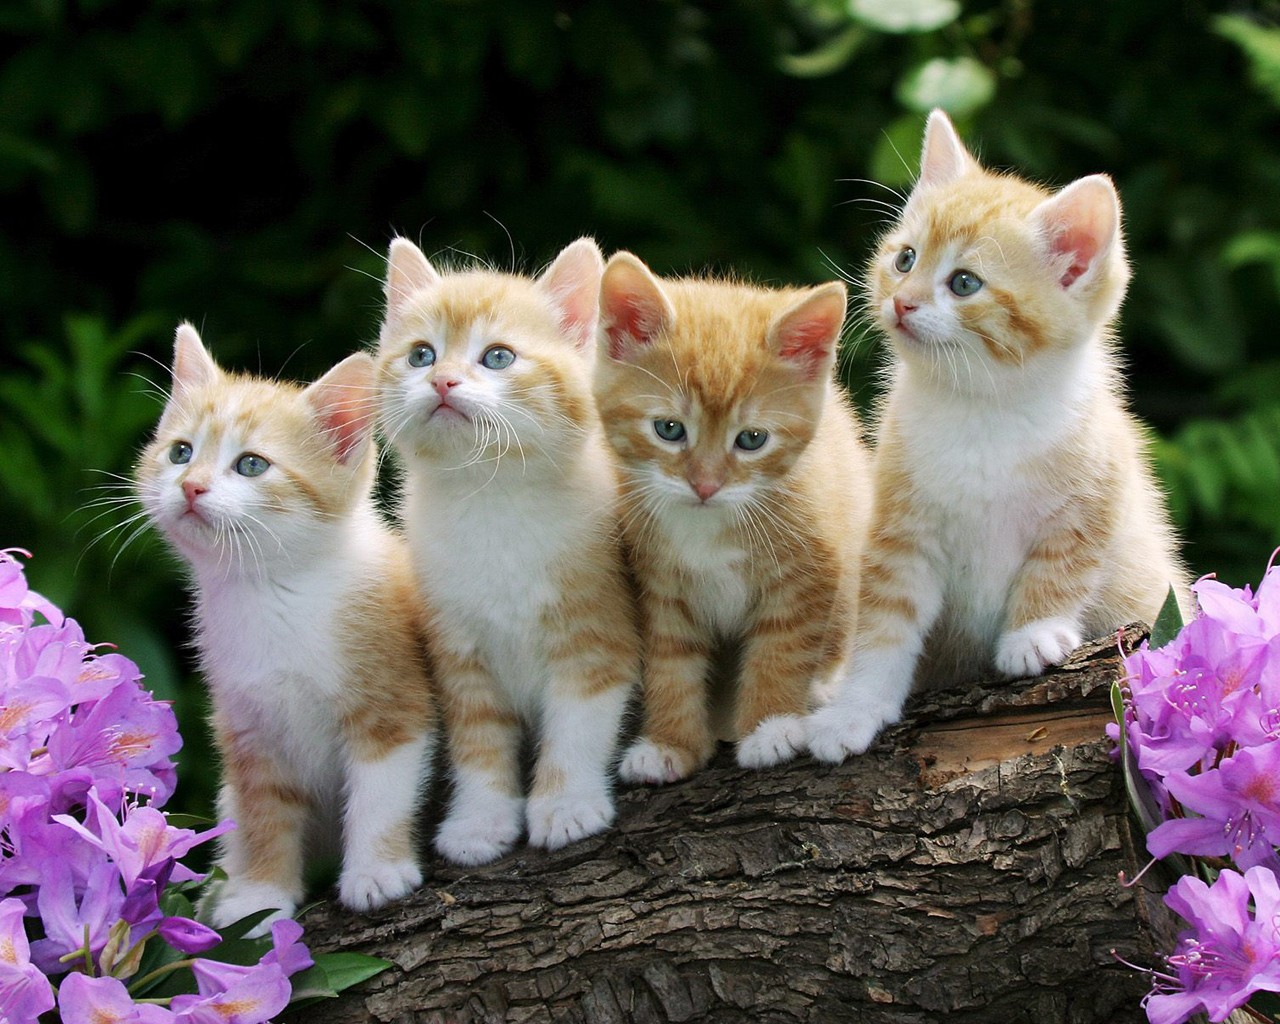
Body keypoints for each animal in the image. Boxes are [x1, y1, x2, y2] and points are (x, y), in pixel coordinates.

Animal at [134, 326, 435, 926]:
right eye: (181, 452)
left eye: (252, 465)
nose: (191, 486)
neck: (273, 594)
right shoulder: (248, 726)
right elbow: (261, 812)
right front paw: (258, 897)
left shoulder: (393, 701)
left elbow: (381, 793)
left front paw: (377, 871)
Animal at [376, 238, 640, 865]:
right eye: (421, 355)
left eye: (497, 357)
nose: (442, 381)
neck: (490, 498)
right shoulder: (457, 650)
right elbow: (478, 741)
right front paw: (479, 821)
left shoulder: (598, 632)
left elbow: (577, 726)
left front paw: (566, 805)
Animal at [593, 252, 875, 778]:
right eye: (669, 429)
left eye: (751, 439)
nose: (705, 485)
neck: (707, 524)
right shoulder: (658, 585)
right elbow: (670, 662)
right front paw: (671, 742)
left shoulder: (810, 572)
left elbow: (781, 649)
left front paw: (771, 728)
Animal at [808, 110, 1187, 757]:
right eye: (905, 259)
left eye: (964, 283)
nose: (902, 303)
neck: (981, 411)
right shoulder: (900, 527)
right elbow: (883, 625)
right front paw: (854, 709)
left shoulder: (1100, 483)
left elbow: (1064, 563)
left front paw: (1034, 634)